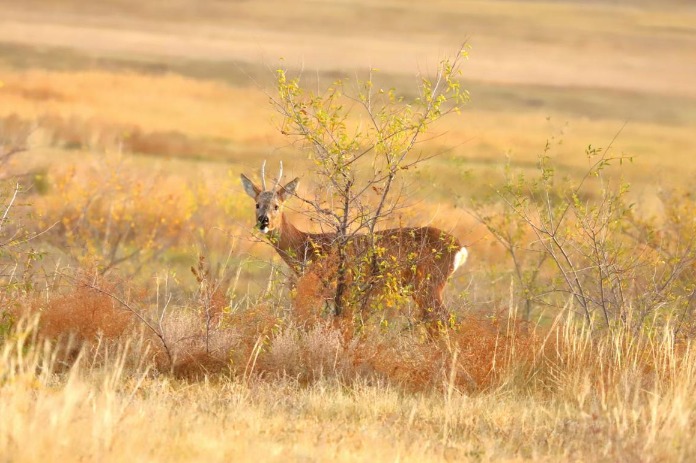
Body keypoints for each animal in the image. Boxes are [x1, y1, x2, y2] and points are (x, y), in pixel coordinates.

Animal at [241, 161, 468, 328]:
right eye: (257, 204)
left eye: (276, 206)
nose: (263, 221)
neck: (307, 246)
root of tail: (460, 248)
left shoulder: (337, 288)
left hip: (430, 284)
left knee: (446, 321)